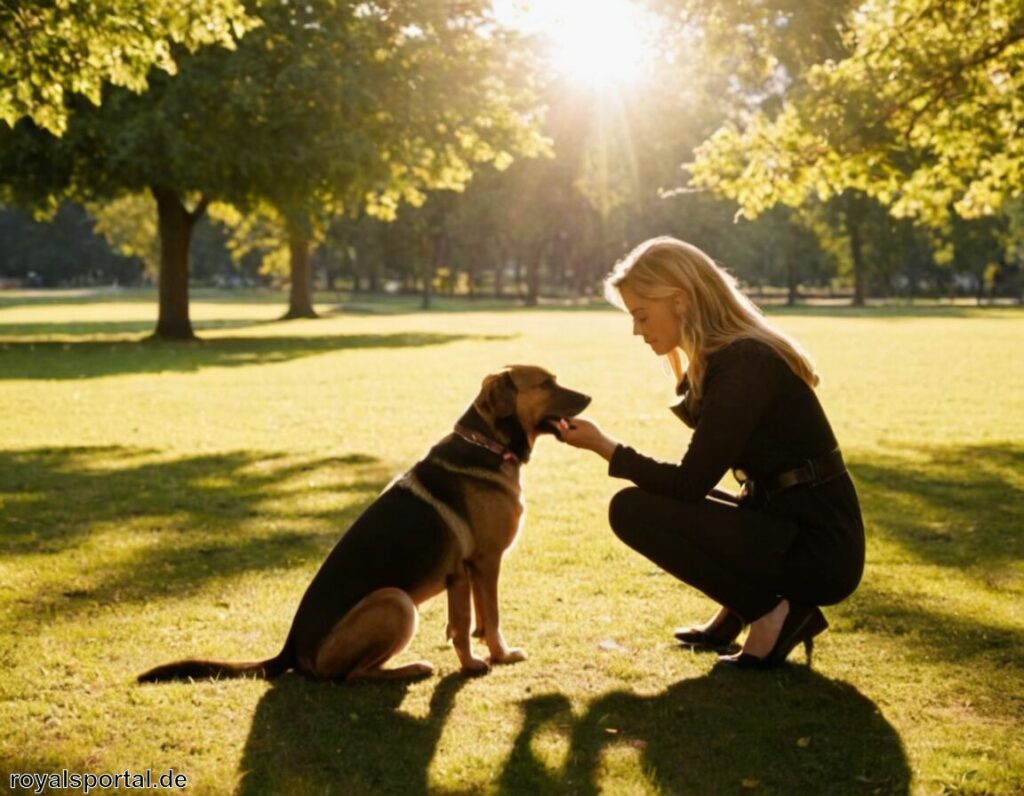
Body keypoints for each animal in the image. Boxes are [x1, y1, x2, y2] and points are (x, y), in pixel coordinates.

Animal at [137, 366, 589, 684]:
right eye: (546, 383)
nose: (589, 395)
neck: (488, 446)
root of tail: (291, 649)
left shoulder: (467, 575)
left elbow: (471, 622)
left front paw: (481, 653)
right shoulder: (482, 563)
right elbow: (485, 620)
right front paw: (492, 658)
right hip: (395, 601)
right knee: (349, 676)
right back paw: (411, 669)